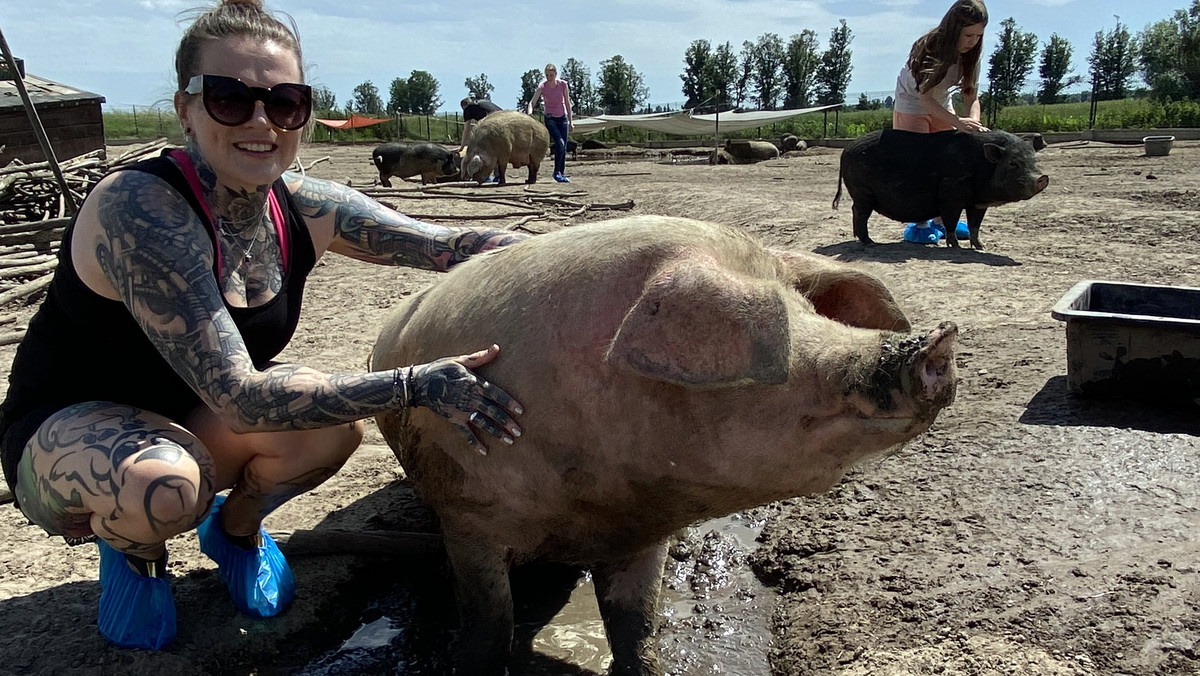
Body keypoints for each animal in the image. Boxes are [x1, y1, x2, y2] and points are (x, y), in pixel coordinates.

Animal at [369, 217, 960, 676]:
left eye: (812, 312)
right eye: (787, 336)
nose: (939, 339)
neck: (592, 498)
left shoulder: (642, 531)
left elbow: (637, 625)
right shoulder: (467, 514)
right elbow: (490, 624)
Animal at [835, 127, 1051, 248]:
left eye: (1033, 160)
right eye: (1013, 163)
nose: (1042, 177)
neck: (980, 165)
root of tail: (845, 151)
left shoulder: (978, 203)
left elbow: (975, 225)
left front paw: (982, 247)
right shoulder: (950, 195)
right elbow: (951, 222)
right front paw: (954, 246)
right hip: (862, 191)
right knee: (859, 213)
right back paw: (870, 243)